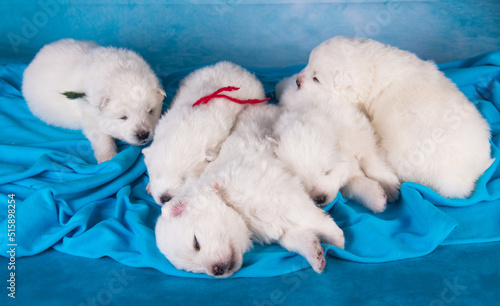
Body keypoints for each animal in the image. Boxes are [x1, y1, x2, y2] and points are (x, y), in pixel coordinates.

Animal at [22, 39, 165, 164]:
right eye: (123, 117)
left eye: (150, 111)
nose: (143, 134)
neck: (119, 71)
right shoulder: (89, 114)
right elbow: (101, 137)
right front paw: (108, 157)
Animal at [156, 104, 344, 278]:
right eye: (194, 269)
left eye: (196, 243)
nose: (216, 271)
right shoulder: (281, 226)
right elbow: (298, 238)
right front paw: (316, 255)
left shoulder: (283, 195)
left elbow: (312, 219)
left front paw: (337, 238)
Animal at [272, 76, 400, 213]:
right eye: (299, 181)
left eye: (327, 171)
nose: (319, 198)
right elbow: (353, 182)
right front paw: (376, 196)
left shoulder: (363, 138)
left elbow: (372, 162)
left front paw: (389, 186)